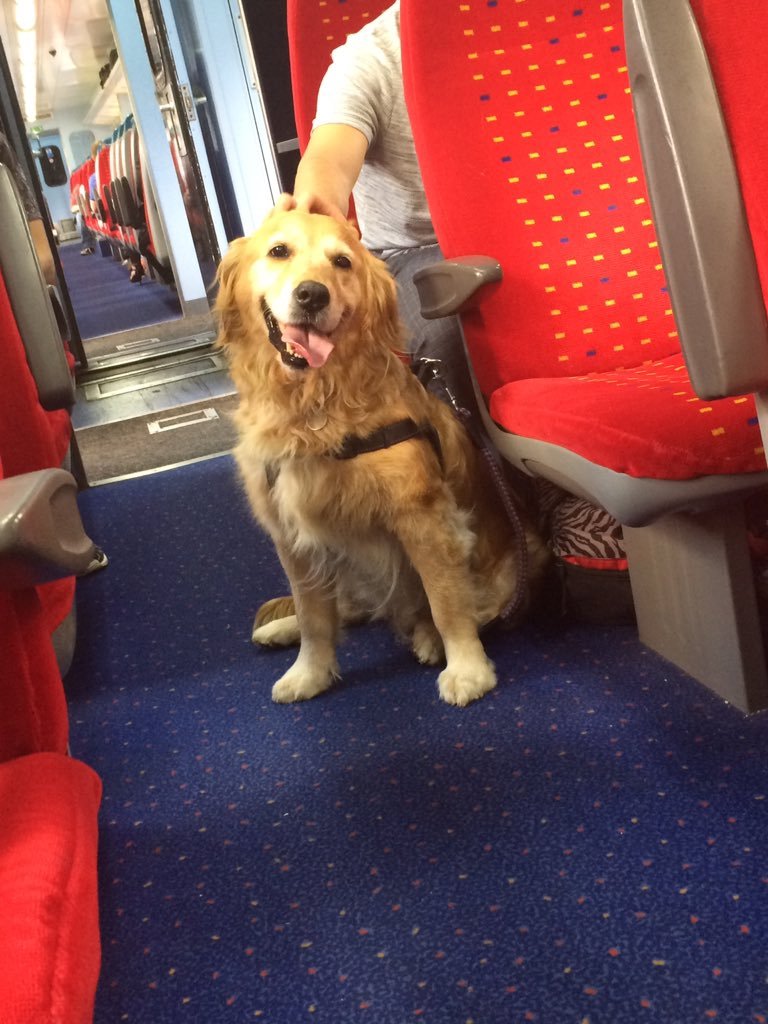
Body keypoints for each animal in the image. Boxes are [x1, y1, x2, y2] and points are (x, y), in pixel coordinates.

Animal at [217, 207, 548, 704]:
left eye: (342, 262)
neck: (316, 407)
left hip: (515, 562)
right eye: (279, 251)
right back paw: (282, 627)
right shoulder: (291, 536)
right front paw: (309, 672)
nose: (312, 295)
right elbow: (315, 617)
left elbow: (447, 603)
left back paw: (428, 639)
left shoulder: (424, 518)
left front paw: (468, 669)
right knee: (348, 608)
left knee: (450, 608)